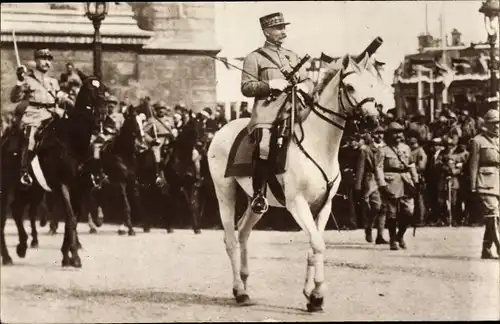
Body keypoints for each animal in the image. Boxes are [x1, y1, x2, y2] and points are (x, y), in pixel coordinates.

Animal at [0, 77, 107, 268]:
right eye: (89, 90)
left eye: (103, 87)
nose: (102, 112)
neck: (71, 140)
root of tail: (6, 138)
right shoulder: (62, 186)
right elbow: (70, 217)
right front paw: (74, 256)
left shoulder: (78, 189)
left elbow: (73, 218)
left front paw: (67, 255)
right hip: (7, 186)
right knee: (5, 217)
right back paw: (7, 256)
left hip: (31, 189)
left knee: (17, 210)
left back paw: (22, 246)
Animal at [207, 51, 386, 312]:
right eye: (351, 86)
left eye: (372, 85)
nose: (373, 120)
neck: (317, 143)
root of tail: (223, 129)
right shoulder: (297, 204)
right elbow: (318, 245)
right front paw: (318, 294)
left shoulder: (324, 205)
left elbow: (314, 246)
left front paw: (310, 296)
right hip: (224, 192)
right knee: (230, 239)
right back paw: (239, 291)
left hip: (256, 201)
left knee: (243, 233)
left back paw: (245, 282)